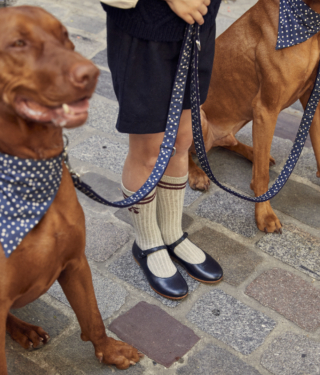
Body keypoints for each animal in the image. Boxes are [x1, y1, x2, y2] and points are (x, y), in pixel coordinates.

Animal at [0, 5, 141, 374]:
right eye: (18, 43)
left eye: (65, 35)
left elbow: (92, 317)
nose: (91, 74)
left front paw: (110, 351)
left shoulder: (76, 261)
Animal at [189, 0, 320, 234]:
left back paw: (253, 153)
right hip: (197, 117)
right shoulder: (266, 109)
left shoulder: (312, 101)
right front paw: (264, 215)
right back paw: (196, 174)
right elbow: (261, 177)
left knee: (230, 143)